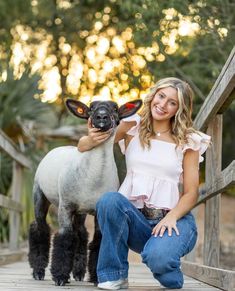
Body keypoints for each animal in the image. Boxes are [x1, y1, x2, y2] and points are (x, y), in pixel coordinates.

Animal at [27, 98, 141, 288]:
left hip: (80, 211)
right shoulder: (65, 206)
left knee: (80, 233)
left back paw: (78, 273)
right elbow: (64, 238)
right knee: (40, 228)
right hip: (39, 195)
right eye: (92, 107)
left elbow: (98, 241)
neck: (94, 178)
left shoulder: (98, 210)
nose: (101, 116)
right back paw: (38, 271)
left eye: (115, 107)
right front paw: (59, 277)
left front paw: (96, 278)